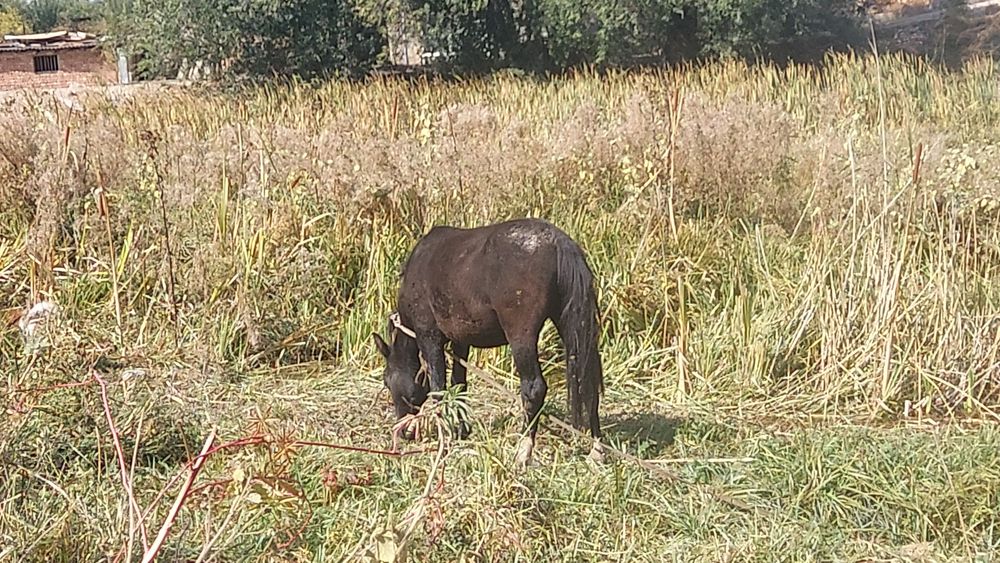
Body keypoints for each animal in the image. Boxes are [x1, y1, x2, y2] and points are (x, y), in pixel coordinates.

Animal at [371, 218, 605, 466]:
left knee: (534, 388)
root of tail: (559, 242)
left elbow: (438, 389)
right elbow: (459, 384)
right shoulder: (461, 342)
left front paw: (444, 437)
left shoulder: (429, 337)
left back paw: (523, 451)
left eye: (387, 380)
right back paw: (597, 449)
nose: (402, 432)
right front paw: (462, 431)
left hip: (521, 336)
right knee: (587, 381)